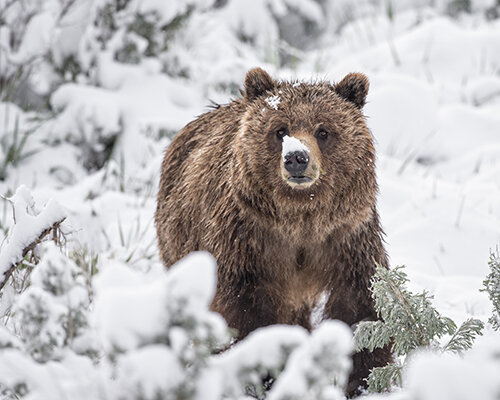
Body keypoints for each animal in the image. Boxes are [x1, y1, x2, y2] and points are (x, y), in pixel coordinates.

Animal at [154, 67, 392, 396]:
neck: (301, 220)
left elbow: (362, 303)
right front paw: (263, 370)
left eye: (323, 131)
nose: (296, 157)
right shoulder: (248, 239)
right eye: (280, 130)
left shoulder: (346, 237)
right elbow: (246, 310)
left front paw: (365, 378)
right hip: (179, 243)